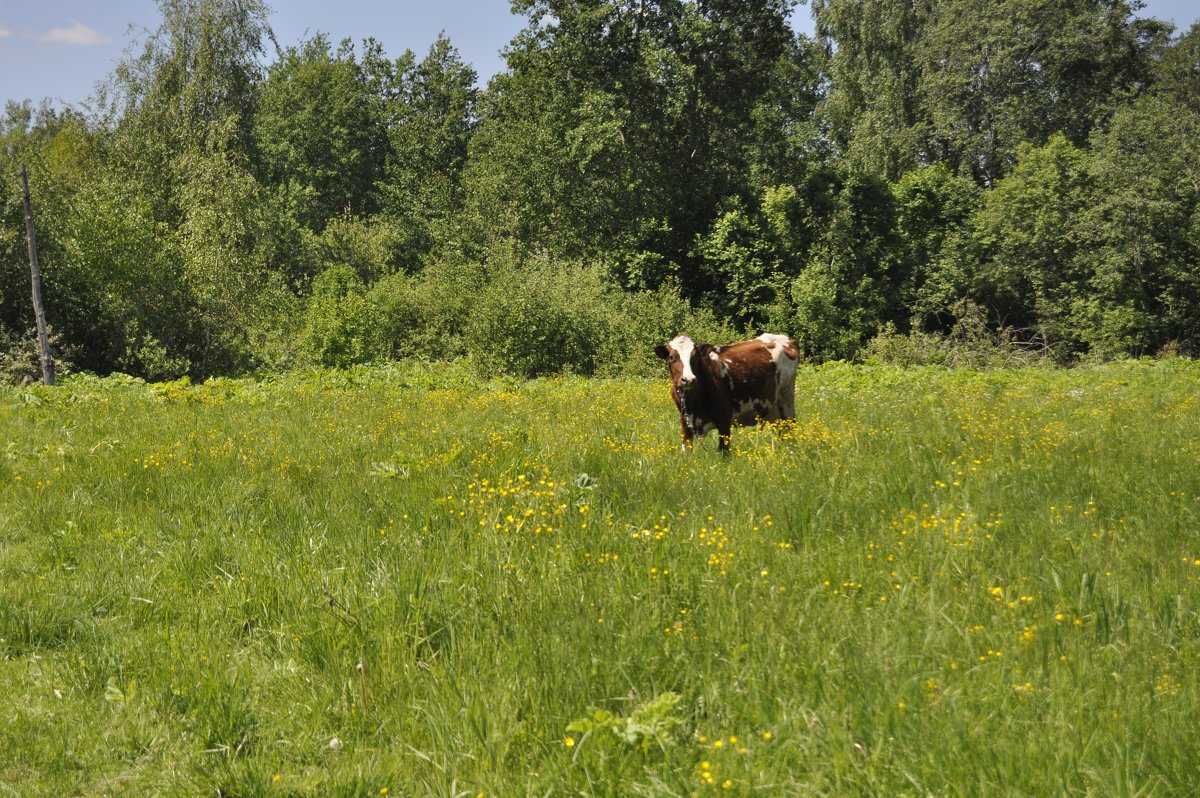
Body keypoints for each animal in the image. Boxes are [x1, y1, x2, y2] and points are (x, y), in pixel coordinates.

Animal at [652, 333, 801, 451]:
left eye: (695, 357)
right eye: (671, 357)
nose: (688, 379)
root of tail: (787, 340)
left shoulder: (724, 419)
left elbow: (724, 452)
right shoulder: (685, 422)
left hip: (787, 401)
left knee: (790, 431)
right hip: (772, 410)